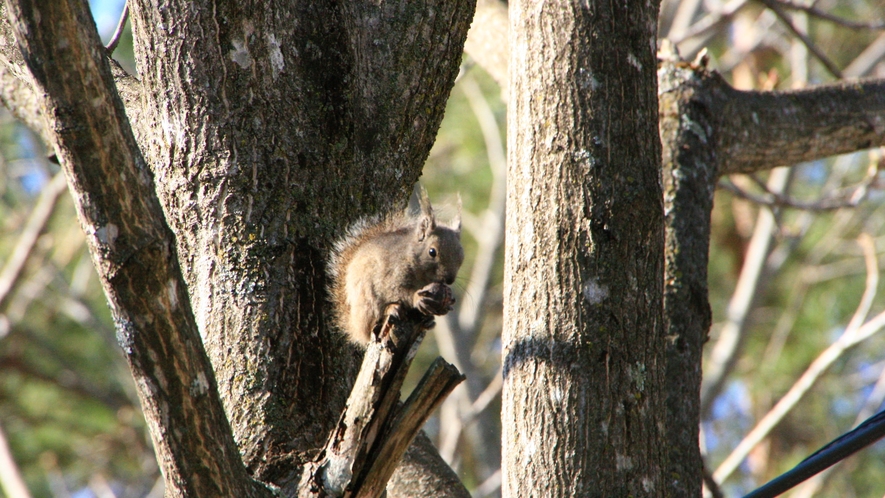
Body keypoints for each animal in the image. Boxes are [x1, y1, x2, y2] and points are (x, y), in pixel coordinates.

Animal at [330, 187, 466, 346]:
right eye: (432, 252)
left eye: (461, 255)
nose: (449, 280)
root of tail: (355, 328)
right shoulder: (391, 274)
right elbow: (398, 291)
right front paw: (417, 298)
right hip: (368, 302)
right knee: (373, 324)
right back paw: (392, 309)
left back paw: (429, 321)